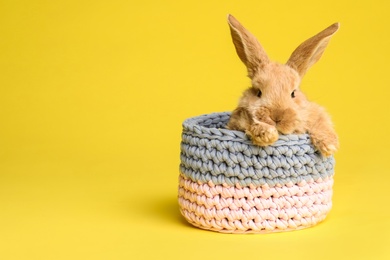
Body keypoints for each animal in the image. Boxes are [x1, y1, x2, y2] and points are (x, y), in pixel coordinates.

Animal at [227, 15, 340, 157]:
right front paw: (268, 135)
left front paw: (329, 146)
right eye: (258, 92)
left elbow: (322, 124)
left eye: (293, 93)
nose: (277, 117)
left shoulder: (317, 114)